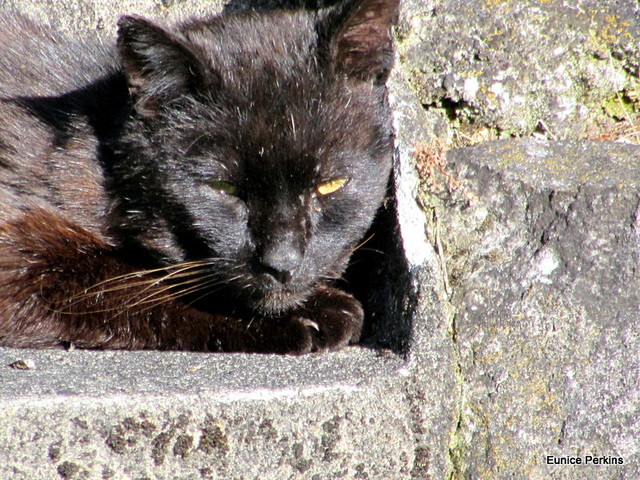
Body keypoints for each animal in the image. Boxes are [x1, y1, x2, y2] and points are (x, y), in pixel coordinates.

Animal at [0, 0, 398, 352]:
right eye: (223, 187)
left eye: (330, 185)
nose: (282, 263)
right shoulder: (20, 254)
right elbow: (127, 279)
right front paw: (319, 312)